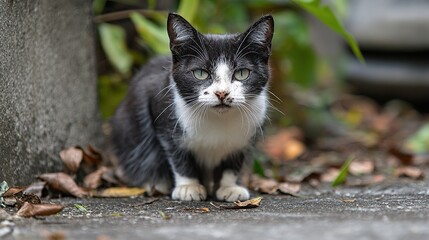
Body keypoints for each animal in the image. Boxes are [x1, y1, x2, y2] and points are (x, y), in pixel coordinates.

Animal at [108, 12, 272, 201]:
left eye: (242, 73)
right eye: (200, 73)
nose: (222, 93)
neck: (218, 119)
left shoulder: (247, 134)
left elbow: (233, 161)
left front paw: (229, 187)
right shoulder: (162, 114)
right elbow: (178, 154)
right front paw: (188, 187)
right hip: (128, 126)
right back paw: (156, 183)